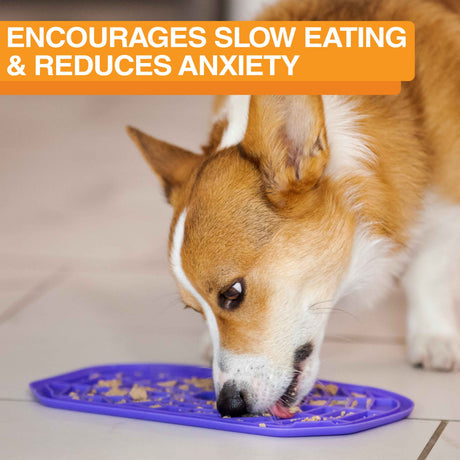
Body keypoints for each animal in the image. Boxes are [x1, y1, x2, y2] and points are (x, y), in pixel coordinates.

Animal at [126, 0, 460, 418]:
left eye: (233, 293)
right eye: (194, 310)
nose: (228, 405)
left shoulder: (446, 200)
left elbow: (427, 271)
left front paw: (433, 339)